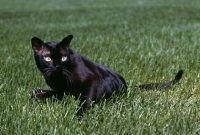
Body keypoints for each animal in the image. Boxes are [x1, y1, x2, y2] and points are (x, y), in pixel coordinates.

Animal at [30, 34, 183, 113]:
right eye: (48, 58)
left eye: (63, 57)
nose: (57, 66)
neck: (59, 79)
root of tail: (127, 86)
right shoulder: (60, 90)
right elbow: (50, 93)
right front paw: (40, 94)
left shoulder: (92, 80)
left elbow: (86, 100)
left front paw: (79, 117)